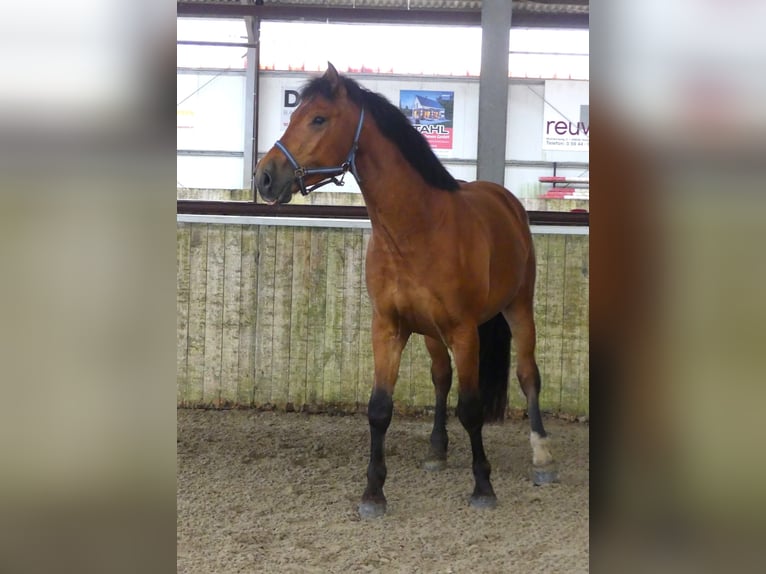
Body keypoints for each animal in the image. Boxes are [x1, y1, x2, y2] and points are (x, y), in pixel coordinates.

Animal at [258, 65, 560, 520]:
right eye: (295, 114)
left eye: (318, 119)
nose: (265, 176)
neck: (418, 228)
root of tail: (504, 199)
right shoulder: (388, 328)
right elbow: (380, 409)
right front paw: (373, 494)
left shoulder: (464, 332)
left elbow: (470, 408)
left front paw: (483, 486)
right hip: (432, 333)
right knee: (441, 377)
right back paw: (437, 451)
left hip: (518, 309)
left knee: (528, 376)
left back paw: (542, 458)